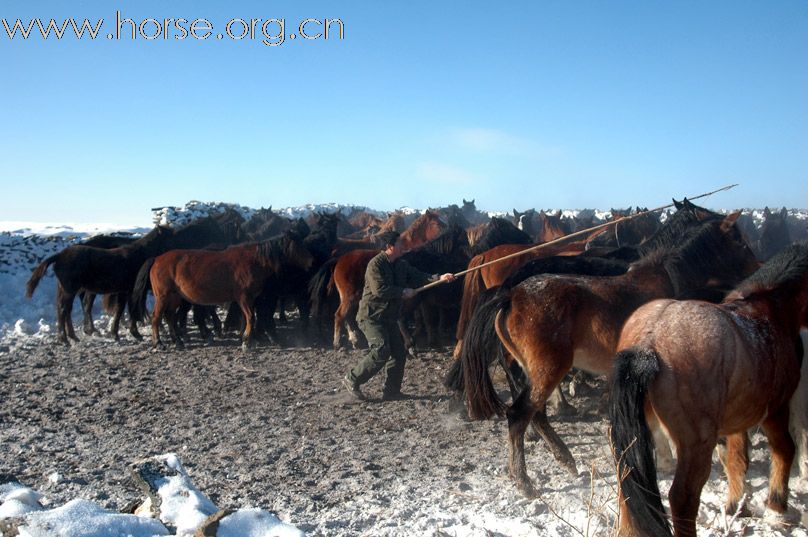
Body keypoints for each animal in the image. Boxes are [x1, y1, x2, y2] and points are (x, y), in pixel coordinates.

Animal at [142, 232, 312, 350]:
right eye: (297, 245)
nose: (311, 262)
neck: (254, 260)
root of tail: (156, 259)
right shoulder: (244, 297)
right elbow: (251, 317)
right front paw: (246, 342)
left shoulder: (248, 299)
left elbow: (247, 318)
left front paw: (247, 338)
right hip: (163, 297)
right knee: (156, 317)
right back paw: (159, 343)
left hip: (175, 297)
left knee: (170, 317)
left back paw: (178, 341)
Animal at [460, 213, 756, 494]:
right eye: (740, 242)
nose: (759, 268)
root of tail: (510, 296)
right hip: (548, 368)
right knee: (519, 415)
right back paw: (524, 481)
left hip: (534, 370)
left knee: (538, 414)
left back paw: (564, 458)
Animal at [608, 241, 808, 536]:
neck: (772, 310)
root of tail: (649, 340)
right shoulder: (774, 411)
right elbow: (784, 450)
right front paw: (776, 506)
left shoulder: (737, 421)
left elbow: (737, 462)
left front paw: (736, 506)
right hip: (696, 443)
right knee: (683, 497)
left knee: (628, 486)